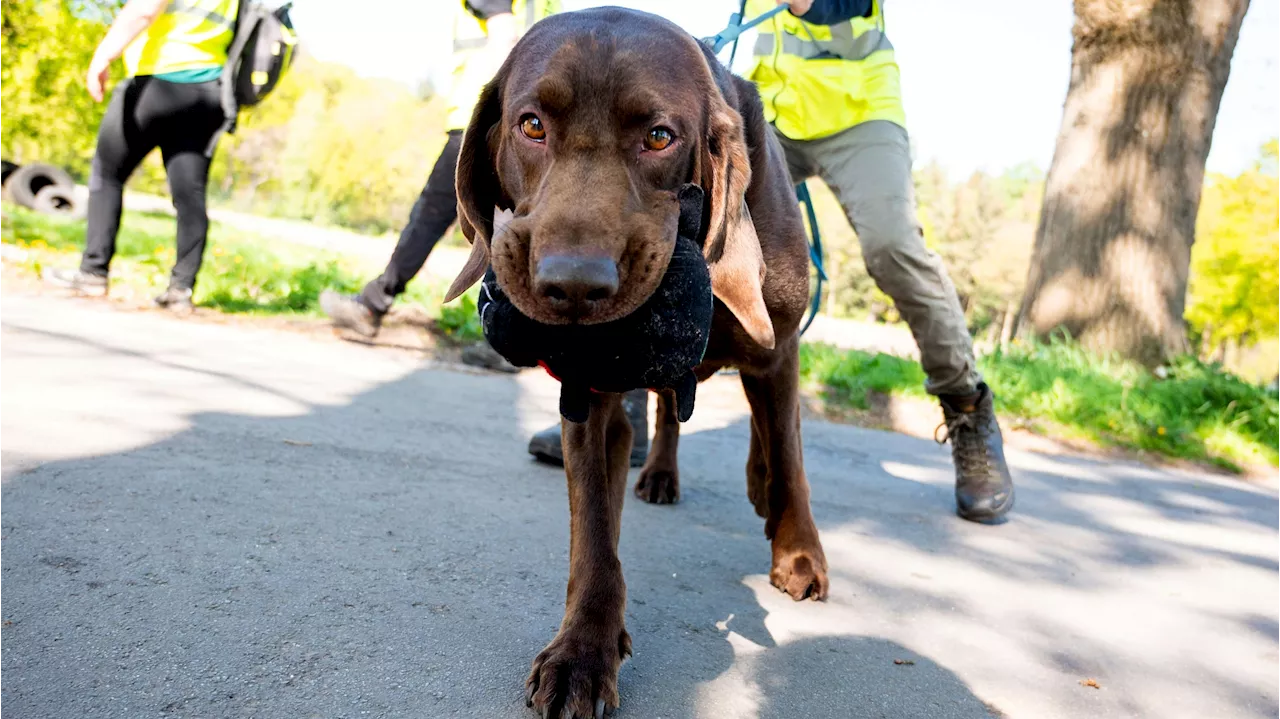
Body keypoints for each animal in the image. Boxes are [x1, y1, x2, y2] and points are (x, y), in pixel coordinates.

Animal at [445, 6, 829, 716]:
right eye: (532, 126)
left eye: (659, 137)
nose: (572, 286)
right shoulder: (589, 390)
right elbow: (594, 532)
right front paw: (582, 652)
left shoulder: (778, 348)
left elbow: (791, 456)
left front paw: (798, 555)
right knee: (669, 411)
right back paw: (660, 473)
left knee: (770, 429)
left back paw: (760, 488)